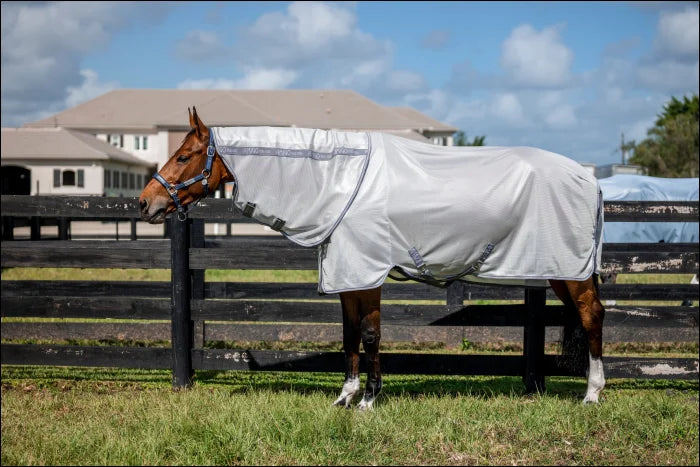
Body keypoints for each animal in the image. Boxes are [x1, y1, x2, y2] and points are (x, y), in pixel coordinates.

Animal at [139, 107, 606, 408]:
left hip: (572, 272)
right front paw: (345, 397)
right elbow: (349, 336)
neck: (339, 181)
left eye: (184, 155)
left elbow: (369, 335)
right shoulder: (348, 278)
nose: (145, 203)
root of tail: (590, 179)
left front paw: (368, 399)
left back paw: (592, 394)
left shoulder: (367, 273)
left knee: (592, 316)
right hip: (561, 272)